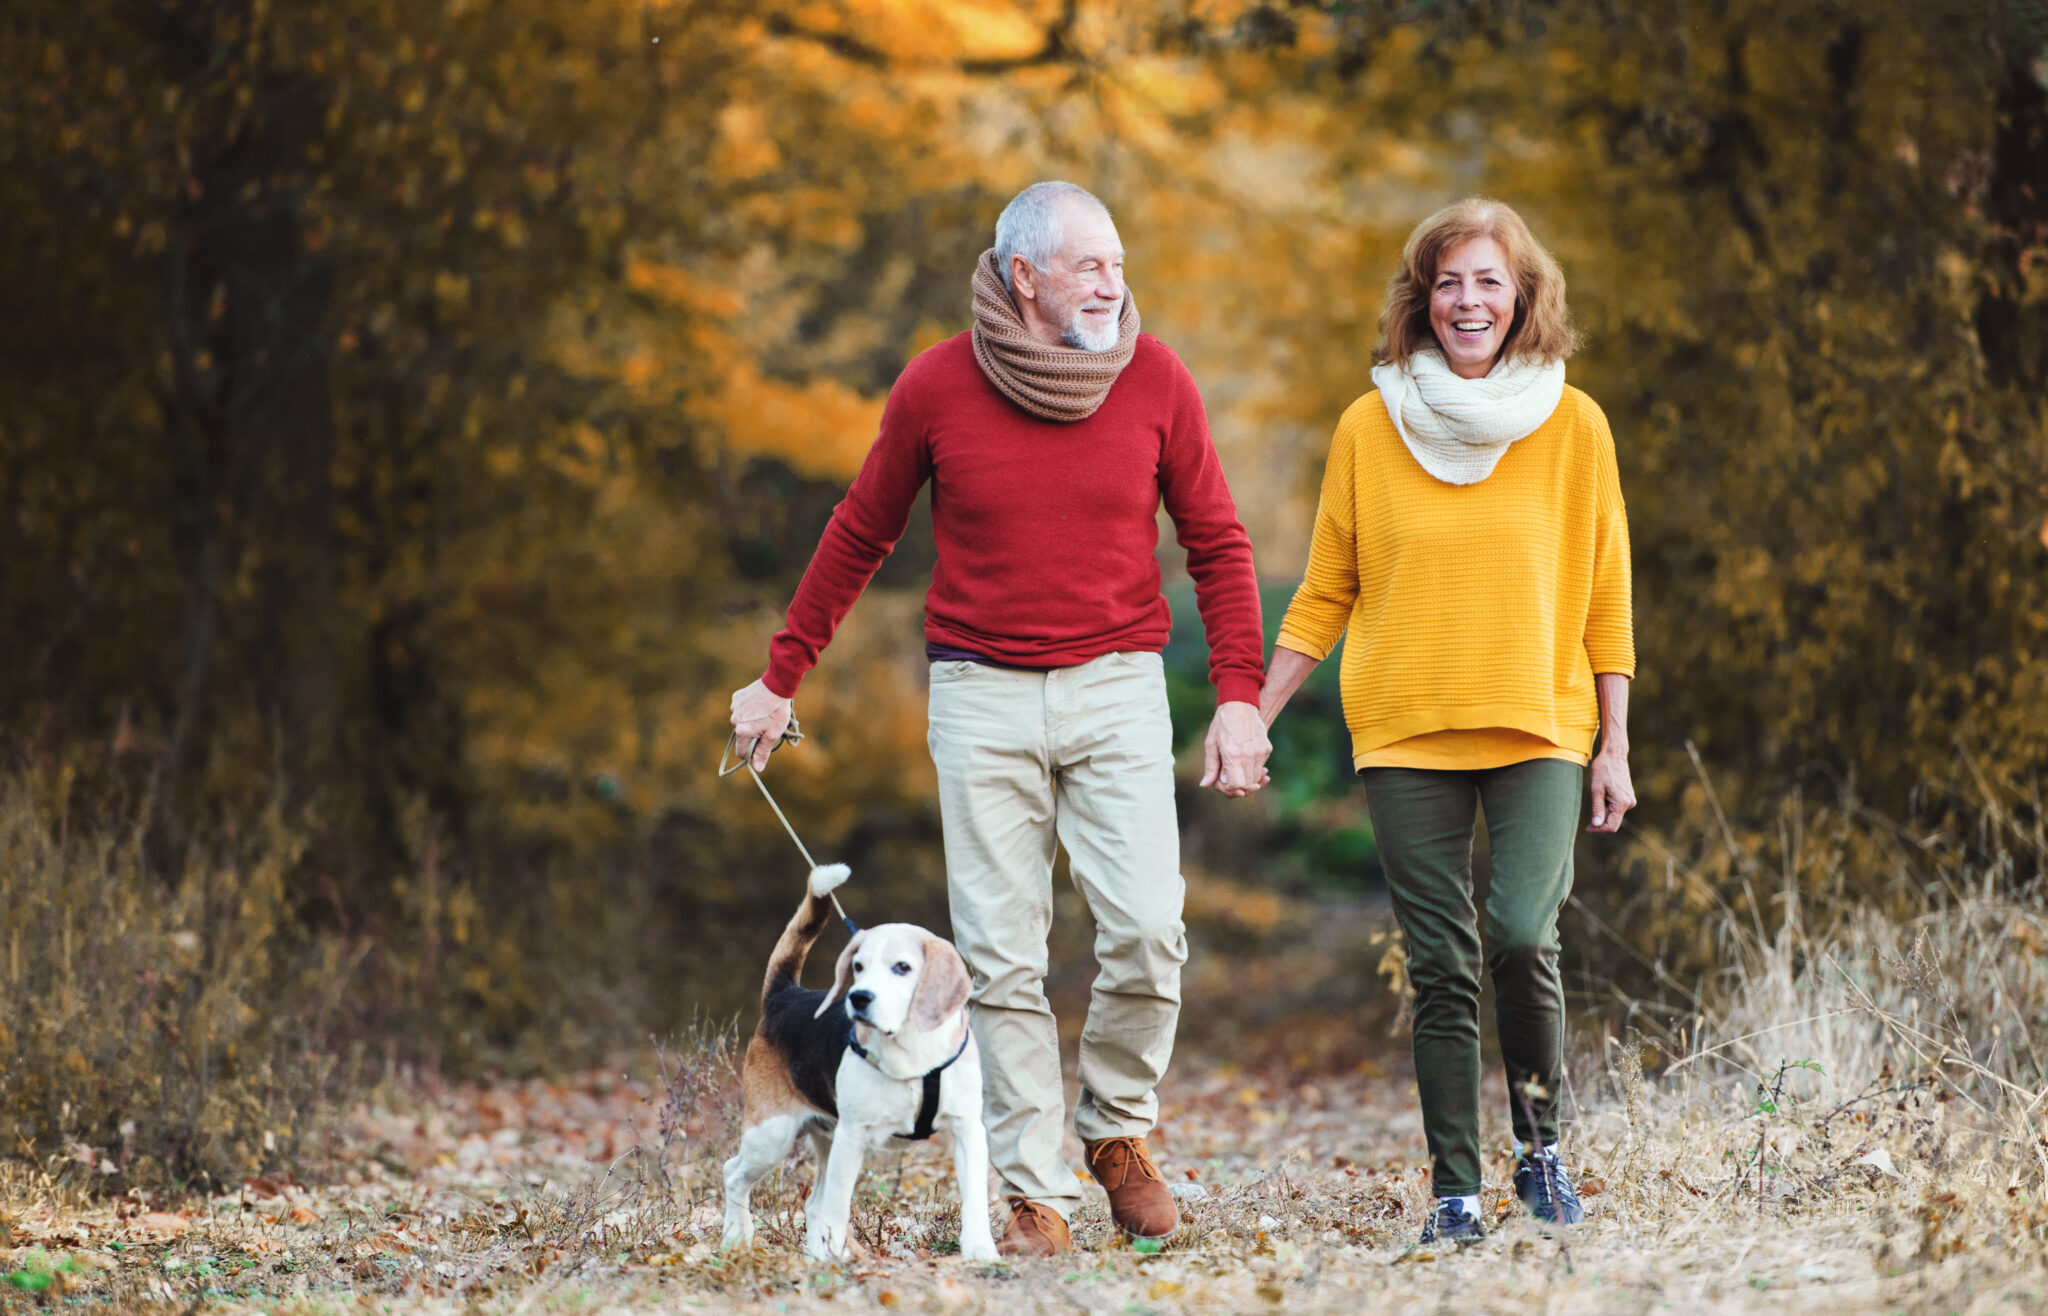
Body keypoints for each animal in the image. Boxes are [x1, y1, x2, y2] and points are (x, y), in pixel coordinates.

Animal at [720, 863, 999, 1268]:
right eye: (858, 967)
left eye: (902, 968)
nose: (859, 997)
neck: (908, 1048)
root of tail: (784, 994)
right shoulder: (853, 1136)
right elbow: (838, 1206)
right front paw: (839, 1253)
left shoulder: (967, 1131)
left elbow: (975, 1199)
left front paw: (981, 1250)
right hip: (772, 1135)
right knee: (734, 1175)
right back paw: (736, 1238)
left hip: (823, 1136)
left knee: (812, 1201)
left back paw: (816, 1257)